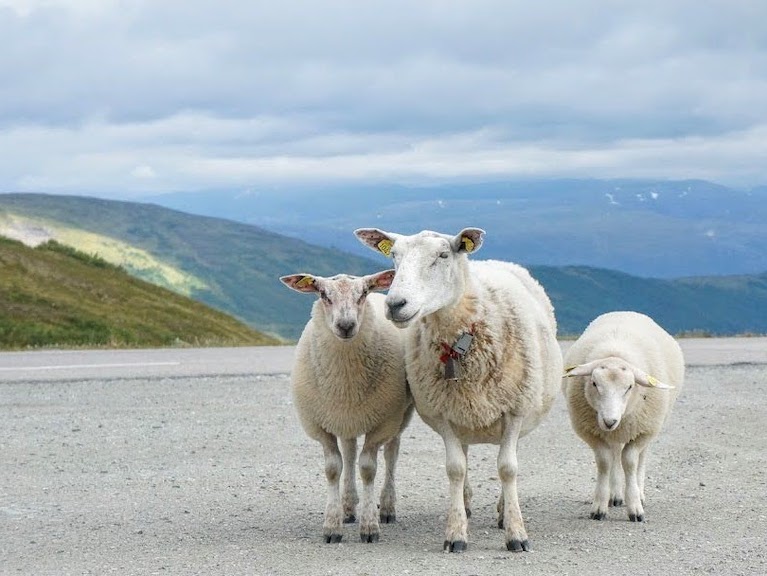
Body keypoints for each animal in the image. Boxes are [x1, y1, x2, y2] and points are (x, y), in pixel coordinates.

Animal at [280, 270, 414, 544]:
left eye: (363, 293)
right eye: (323, 294)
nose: (345, 325)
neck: (345, 384)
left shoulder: (383, 424)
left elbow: (368, 468)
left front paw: (370, 527)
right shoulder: (321, 425)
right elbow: (334, 469)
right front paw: (333, 525)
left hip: (399, 416)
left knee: (391, 454)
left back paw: (387, 507)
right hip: (346, 418)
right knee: (350, 453)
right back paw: (349, 507)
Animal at [356, 226, 564, 552]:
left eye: (443, 255)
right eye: (394, 256)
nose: (394, 305)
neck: (459, 340)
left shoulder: (515, 410)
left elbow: (508, 468)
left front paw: (516, 533)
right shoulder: (442, 412)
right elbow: (455, 468)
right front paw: (456, 533)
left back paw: (503, 511)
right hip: (461, 409)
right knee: (464, 455)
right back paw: (465, 505)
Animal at [560, 310, 688, 520]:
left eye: (629, 386)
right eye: (594, 383)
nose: (609, 421)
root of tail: (626, 311)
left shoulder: (643, 431)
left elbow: (630, 462)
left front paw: (635, 507)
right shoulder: (591, 432)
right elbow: (605, 461)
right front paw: (599, 506)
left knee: (639, 459)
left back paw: (639, 493)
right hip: (613, 433)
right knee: (614, 453)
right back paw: (615, 495)